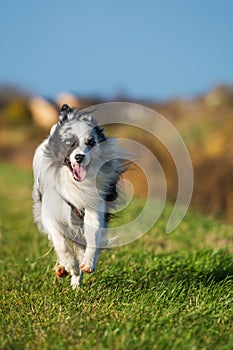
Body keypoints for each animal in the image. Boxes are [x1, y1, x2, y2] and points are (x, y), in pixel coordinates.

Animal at [32, 103, 129, 288]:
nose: (79, 157)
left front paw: (87, 263)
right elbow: (60, 243)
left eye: (91, 143)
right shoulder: (50, 212)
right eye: (69, 143)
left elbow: (93, 236)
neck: (74, 183)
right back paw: (65, 269)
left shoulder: (93, 207)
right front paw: (70, 265)